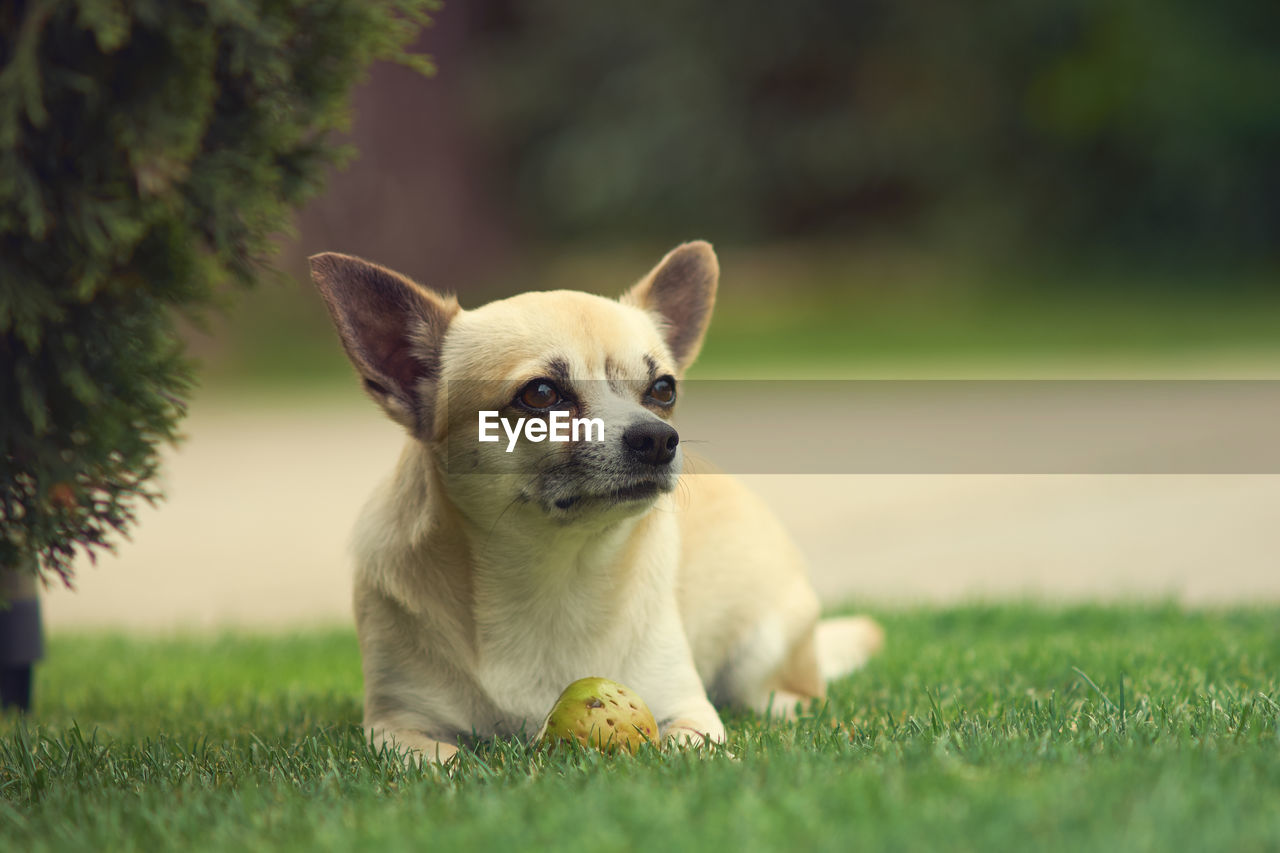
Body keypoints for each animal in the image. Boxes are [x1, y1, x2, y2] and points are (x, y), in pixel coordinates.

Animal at [309, 242, 880, 758]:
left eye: (664, 389)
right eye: (540, 394)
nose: (658, 437)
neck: (553, 576)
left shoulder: (689, 711)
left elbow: (683, 746)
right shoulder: (395, 726)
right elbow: (440, 761)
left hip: (763, 648)